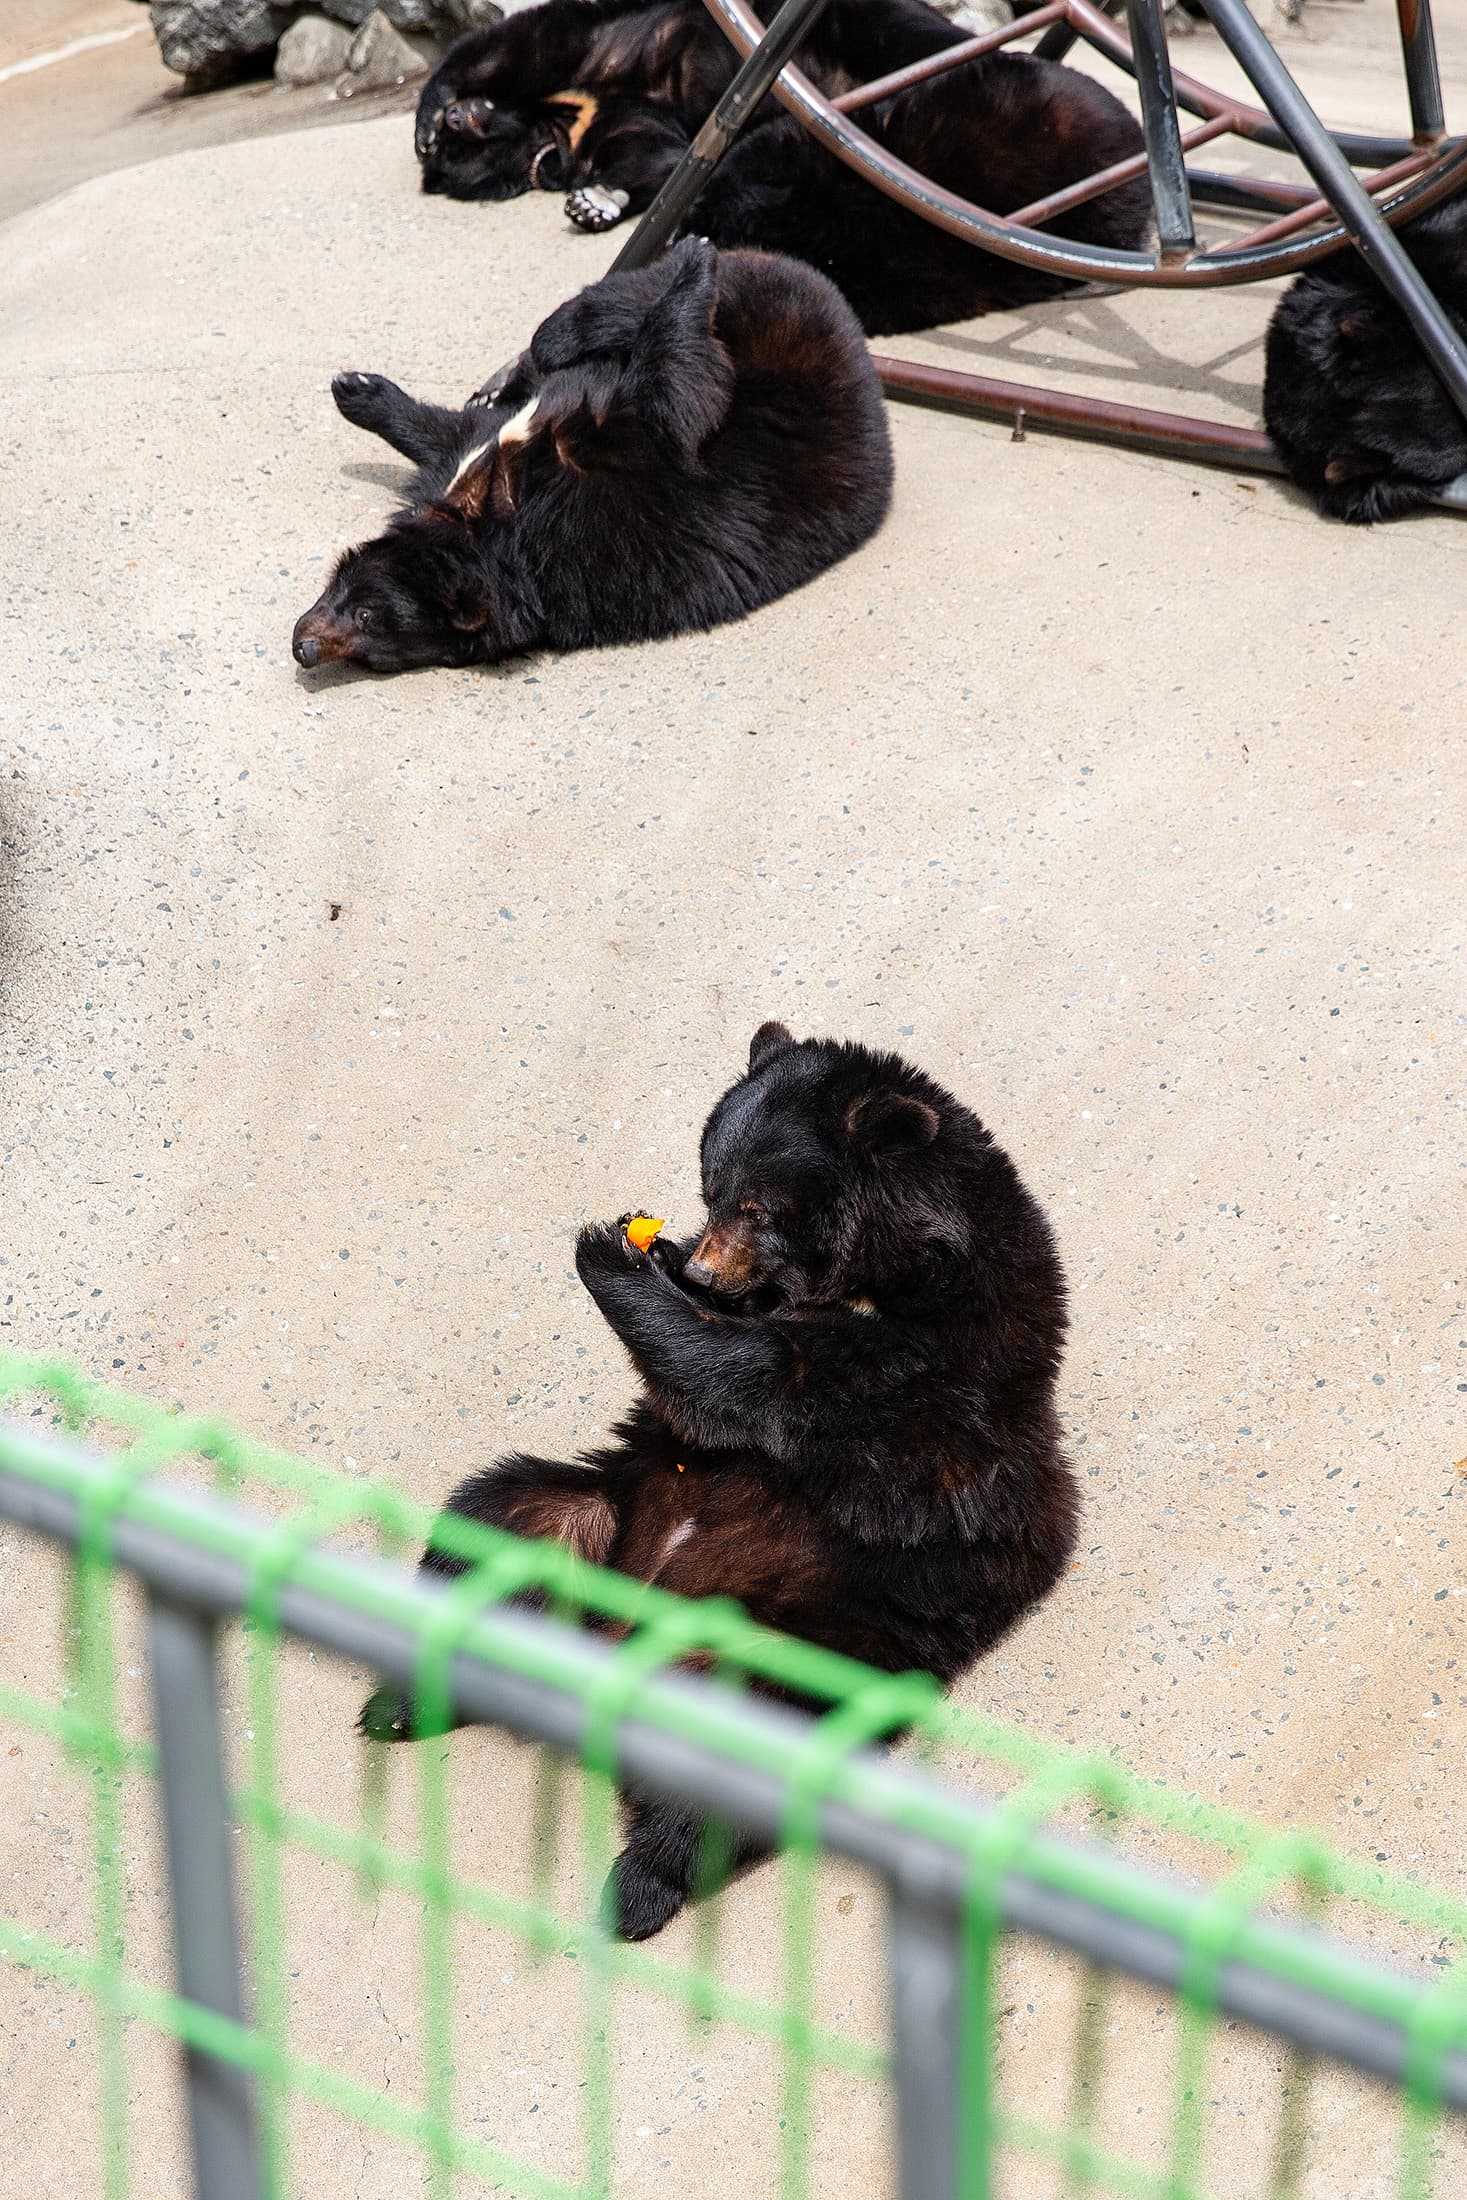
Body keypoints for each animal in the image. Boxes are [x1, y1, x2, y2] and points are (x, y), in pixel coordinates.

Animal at [290, 238, 892, 676]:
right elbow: (454, 433)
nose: (304, 648)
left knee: (626, 301)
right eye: (368, 649)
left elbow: (674, 411)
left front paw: (359, 391)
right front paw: (362, 394)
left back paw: (677, 269)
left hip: (768, 308)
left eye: (365, 614)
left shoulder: (624, 482)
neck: (494, 521)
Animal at [360, 1023, 1078, 1942]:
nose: (703, 1269)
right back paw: (403, 1699)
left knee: (738, 1766)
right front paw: (653, 1250)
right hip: (591, 1515)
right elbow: (689, 1409)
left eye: (759, 1207)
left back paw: (634, 1891)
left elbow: (746, 1382)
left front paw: (613, 1252)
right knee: (499, 1517)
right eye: (711, 1189)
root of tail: (605, 1658)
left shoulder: (927, 1376)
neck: (894, 1271)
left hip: (801, 1652)